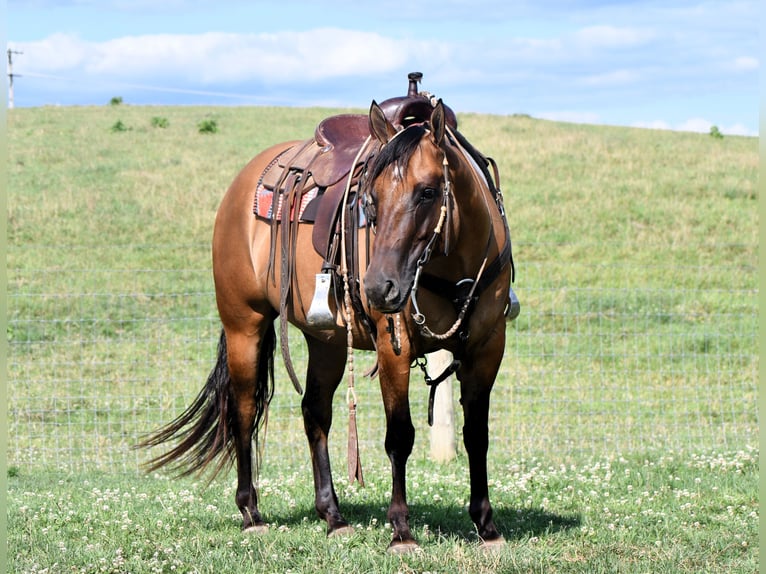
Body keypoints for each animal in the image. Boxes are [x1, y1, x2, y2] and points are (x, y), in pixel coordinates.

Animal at [140, 74, 520, 556]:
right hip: (244, 324)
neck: (454, 267)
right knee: (243, 410)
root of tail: (241, 186)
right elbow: (400, 437)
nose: (378, 287)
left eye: (429, 191)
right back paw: (251, 513)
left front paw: (486, 525)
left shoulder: (487, 348)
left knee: (315, 411)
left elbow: (477, 435)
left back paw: (333, 515)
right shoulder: (393, 346)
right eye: (370, 199)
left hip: (327, 342)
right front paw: (401, 530)